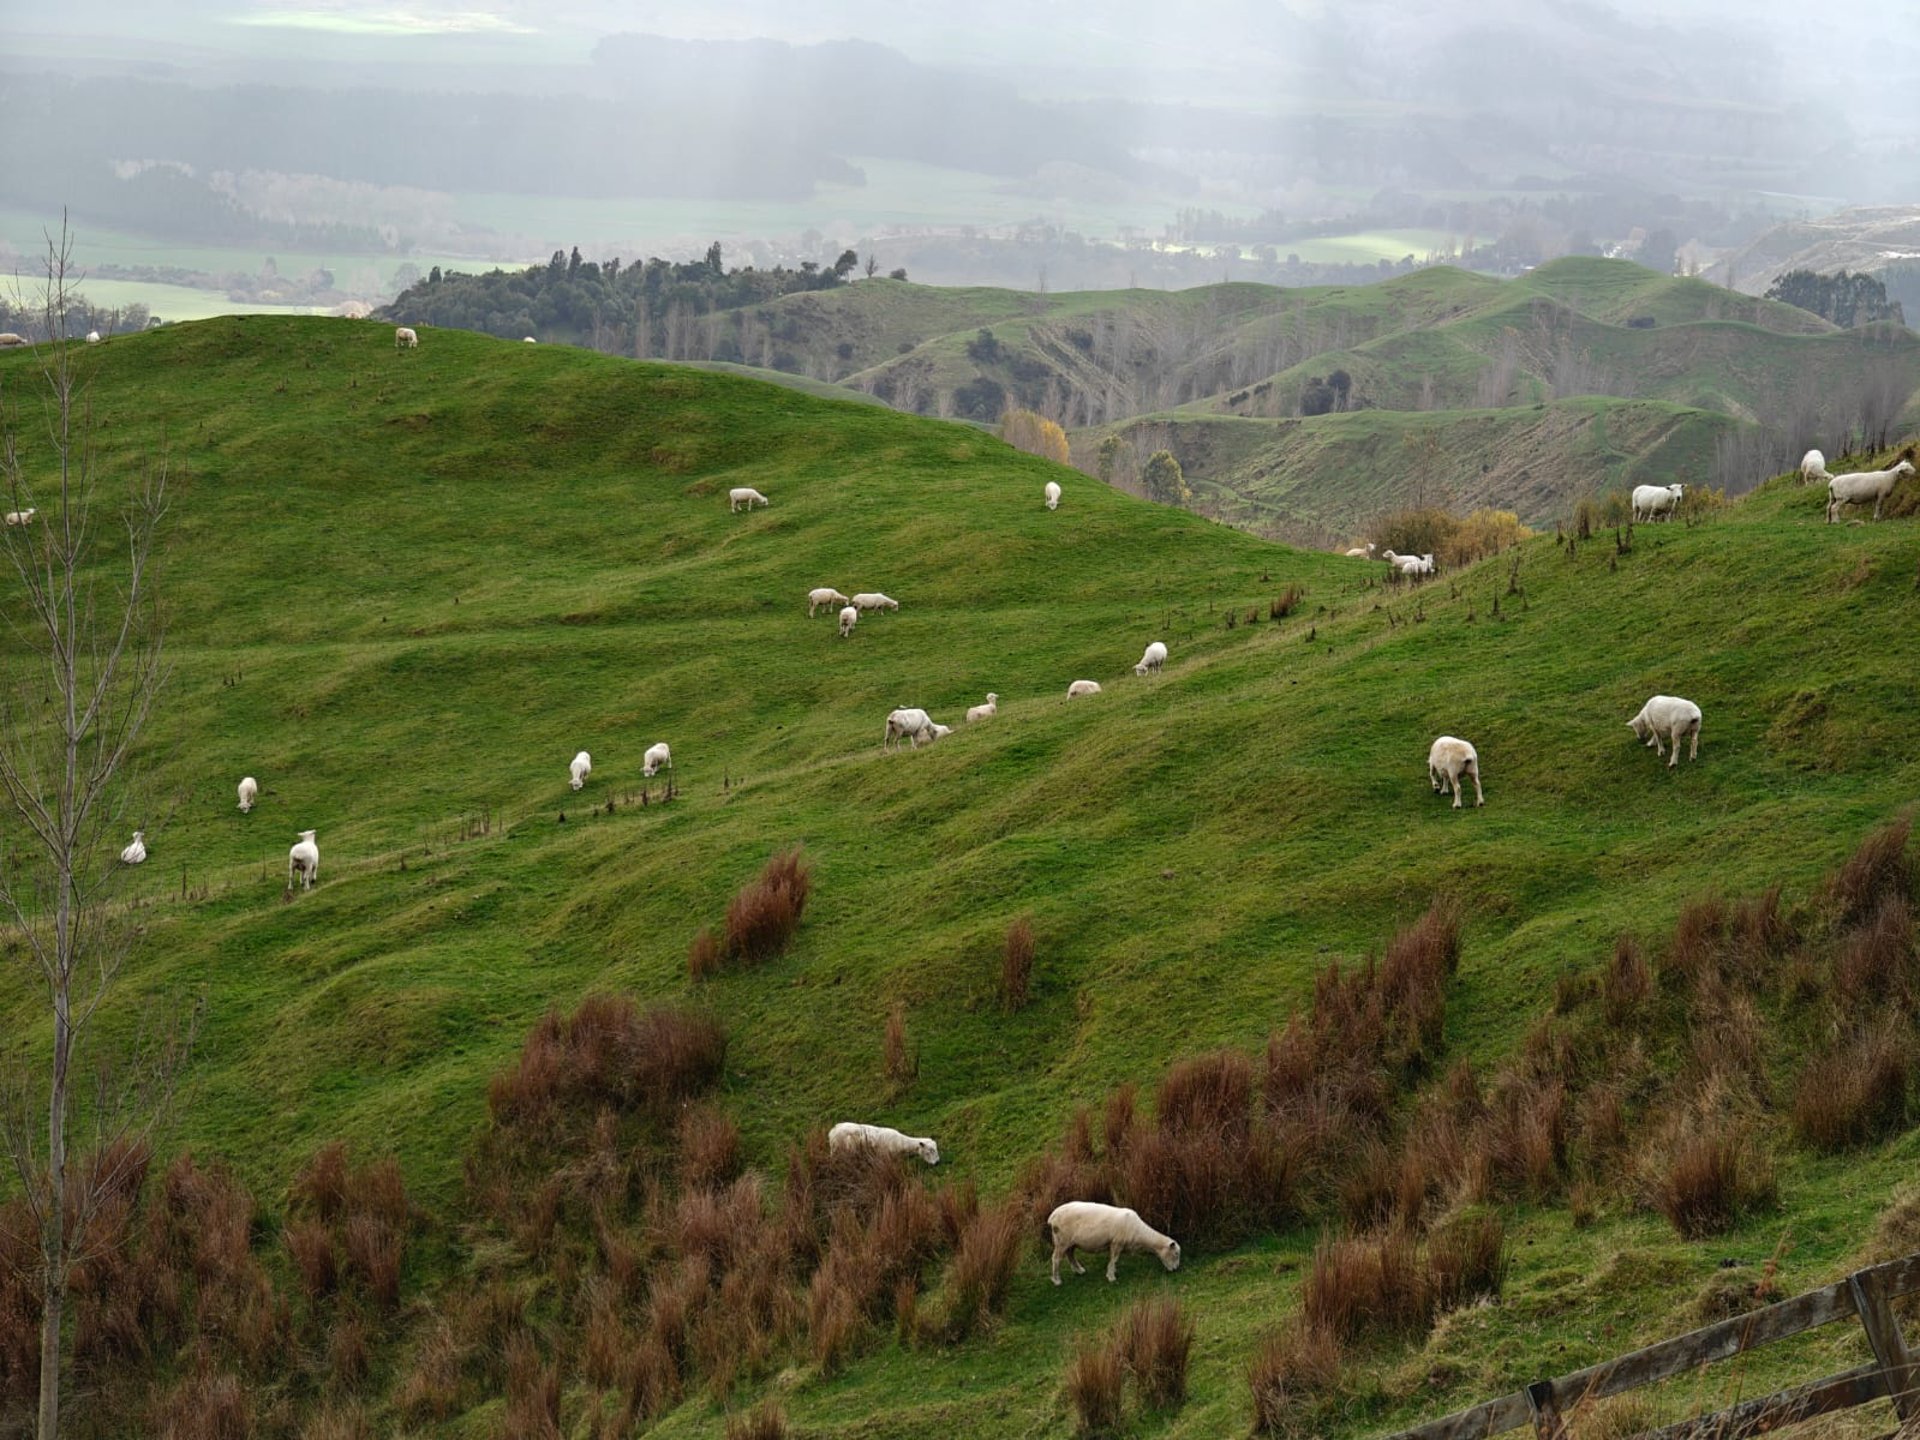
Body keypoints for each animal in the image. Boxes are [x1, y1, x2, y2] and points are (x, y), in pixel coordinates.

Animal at [1044, 1198, 1175, 1290]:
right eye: (1175, 1254)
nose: (1174, 1270)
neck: (1139, 1233)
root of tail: (1052, 1216)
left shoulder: (1117, 1244)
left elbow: (1114, 1260)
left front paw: (1113, 1271)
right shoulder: (1117, 1242)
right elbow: (1114, 1259)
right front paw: (1111, 1277)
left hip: (1070, 1241)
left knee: (1070, 1254)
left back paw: (1079, 1270)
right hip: (1061, 1240)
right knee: (1056, 1259)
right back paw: (1057, 1280)